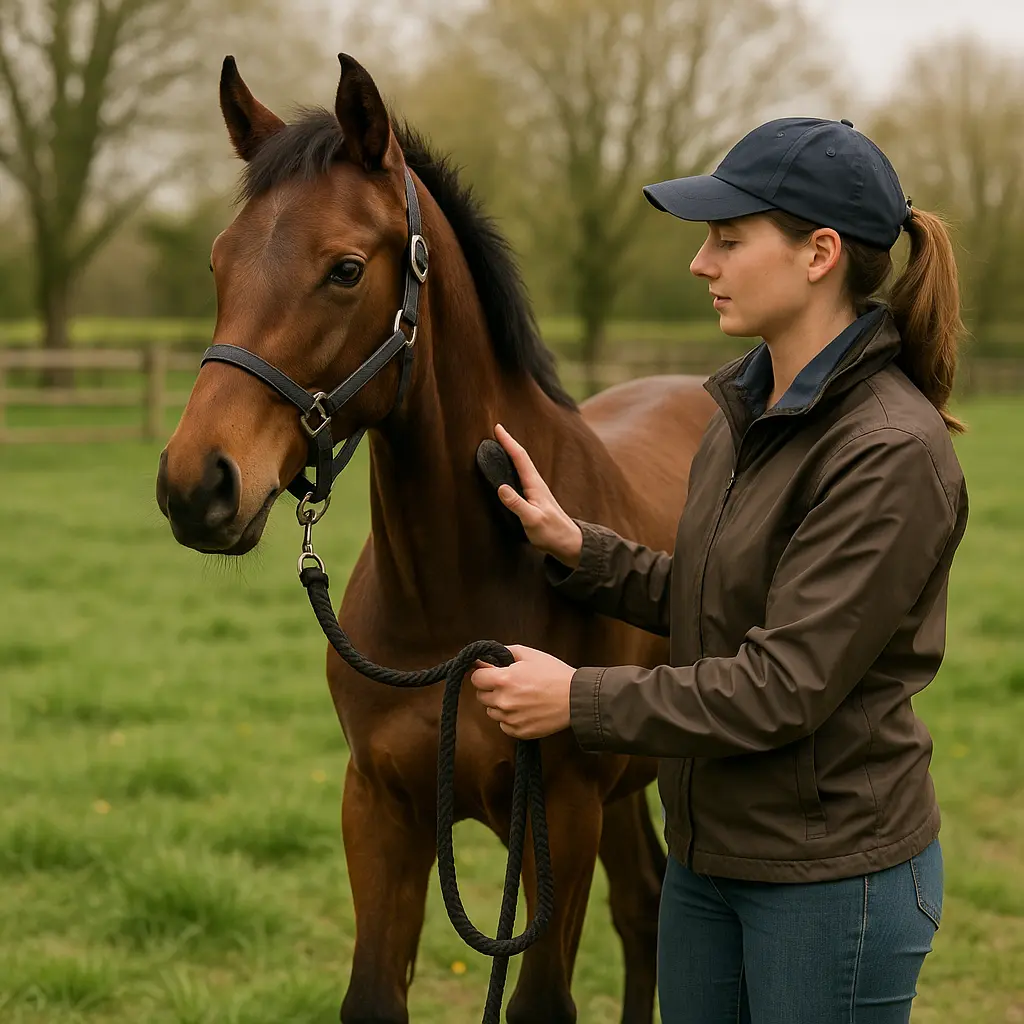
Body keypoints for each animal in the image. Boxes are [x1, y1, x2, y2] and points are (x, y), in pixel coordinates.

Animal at [156, 53, 717, 1024]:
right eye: (220, 261)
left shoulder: (560, 812)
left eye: (345, 269)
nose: (196, 485)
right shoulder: (381, 809)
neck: (451, 600)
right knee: (644, 903)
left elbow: (542, 1003)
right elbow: (373, 995)